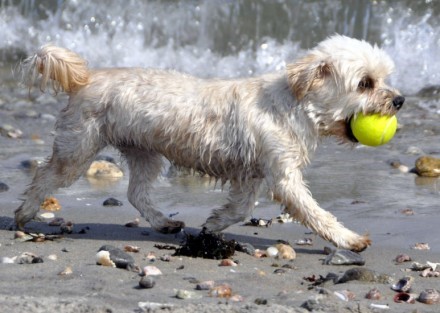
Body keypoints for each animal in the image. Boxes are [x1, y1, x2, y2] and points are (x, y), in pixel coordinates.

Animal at [15, 34, 404, 251]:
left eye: (383, 79)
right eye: (365, 83)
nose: (399, 100)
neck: (294, 104)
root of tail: (85, 77)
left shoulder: (252, 173)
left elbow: (241, 208)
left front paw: (214, 224)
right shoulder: (283, 176)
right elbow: (315, 212)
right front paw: (349, 239)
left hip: (144, 151)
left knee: (136, 193)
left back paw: (164, 223)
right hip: (78, 147)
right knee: (45, 175)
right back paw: (24, 214)